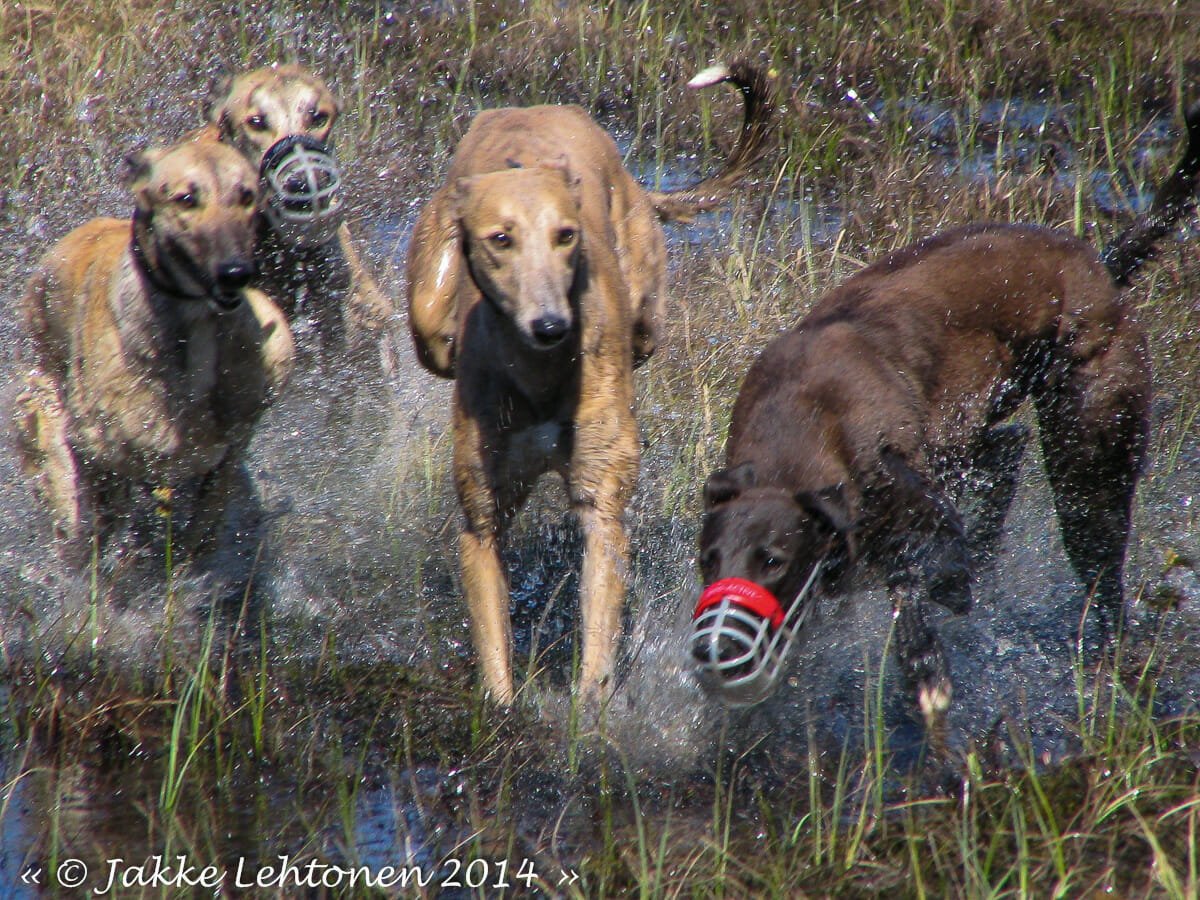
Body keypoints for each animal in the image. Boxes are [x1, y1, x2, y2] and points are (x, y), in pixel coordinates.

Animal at [16, 139, 295, 564]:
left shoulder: (230, 449)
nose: (236, 273)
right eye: (186, 199)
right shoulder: (96, 454)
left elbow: (200, 530)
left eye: (247, 196)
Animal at [408, 65, 772, 710]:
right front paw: (504, 713)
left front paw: (591, 710)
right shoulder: (482, 519)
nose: (551, 325)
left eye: (566, 235)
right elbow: (493, 636)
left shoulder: (602, 506)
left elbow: (600, 623)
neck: (539, 372)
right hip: (431, 281)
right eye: (500, 239)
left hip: (644, 303)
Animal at [696, 100, 1200, 724]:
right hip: (971, 436)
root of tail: (1100, 265)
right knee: (1007, 448)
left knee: (1099, 571)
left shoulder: (911, 516)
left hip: (1089, 460)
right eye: (708, 561)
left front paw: (926, 661)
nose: (716, 650)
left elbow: (919, 588)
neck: (800, 418)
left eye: (772, 561)